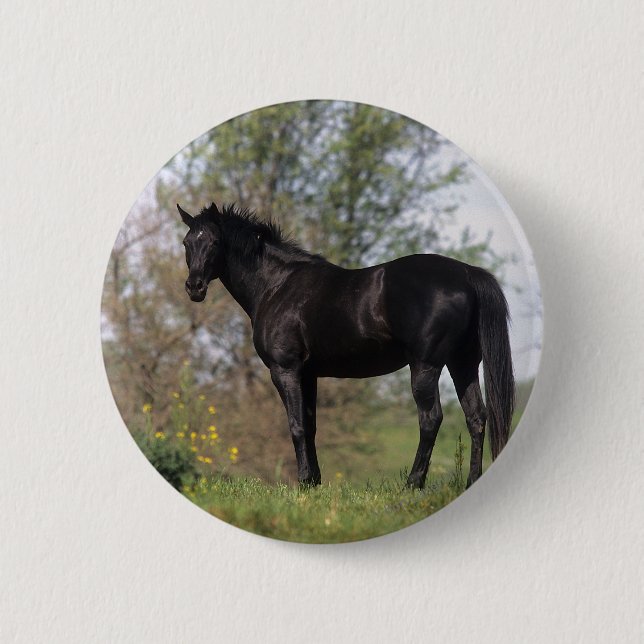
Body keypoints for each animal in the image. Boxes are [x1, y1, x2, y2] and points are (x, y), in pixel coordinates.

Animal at [177, 202, 514, 489]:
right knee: (476, 418)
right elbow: (310, 425)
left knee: (431, 420)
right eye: (186, 243)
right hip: (463, 364)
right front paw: (314, 483)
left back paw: (413, 483)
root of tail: (467, 274)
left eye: (214, 242)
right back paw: (471, 481)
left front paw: (303, 483)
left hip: (425, 366)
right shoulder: (308, 374)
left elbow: (296, 425)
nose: (194, 287)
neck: (277, 286)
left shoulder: (285, 370)